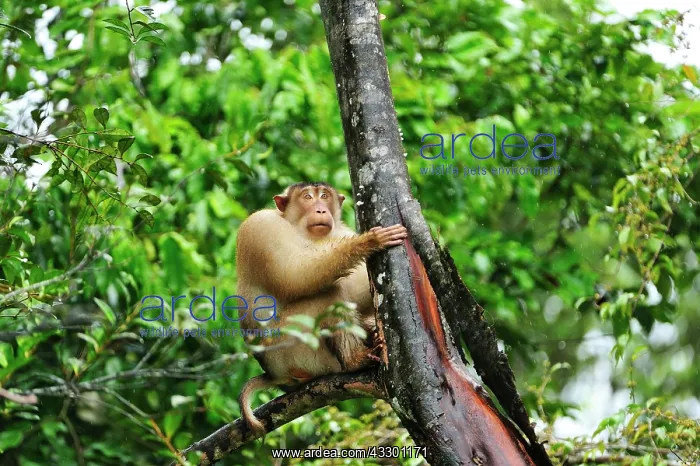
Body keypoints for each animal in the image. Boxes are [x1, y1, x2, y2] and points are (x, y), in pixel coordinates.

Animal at [235, 182, 407, 436]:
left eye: (324, 196)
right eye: (307, 197)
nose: (320, 210)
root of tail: (274, 375)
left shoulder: (340, 232)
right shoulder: (261, 226)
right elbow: (295, 275)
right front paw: (370, 241)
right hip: (292, 348)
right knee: (329, 294)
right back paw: (355, 360)